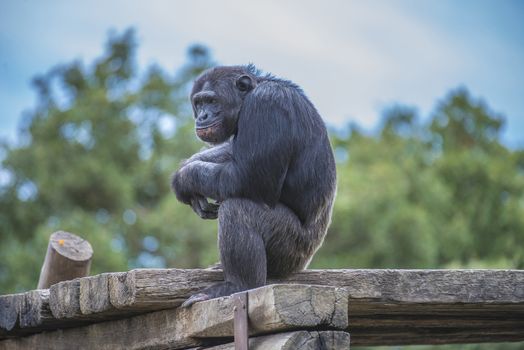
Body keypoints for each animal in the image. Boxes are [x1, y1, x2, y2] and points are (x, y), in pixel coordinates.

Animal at [172, 65, 336, 306]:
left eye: (211, 101)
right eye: (199, 103)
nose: (202, 115)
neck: (248, 97)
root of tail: (303, 264)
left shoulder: (267, 104)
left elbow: (249, 177)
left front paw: (184, 178)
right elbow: (232, 151)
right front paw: (186, 171)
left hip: (290, 248)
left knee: (238, 209)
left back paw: (237, 285)